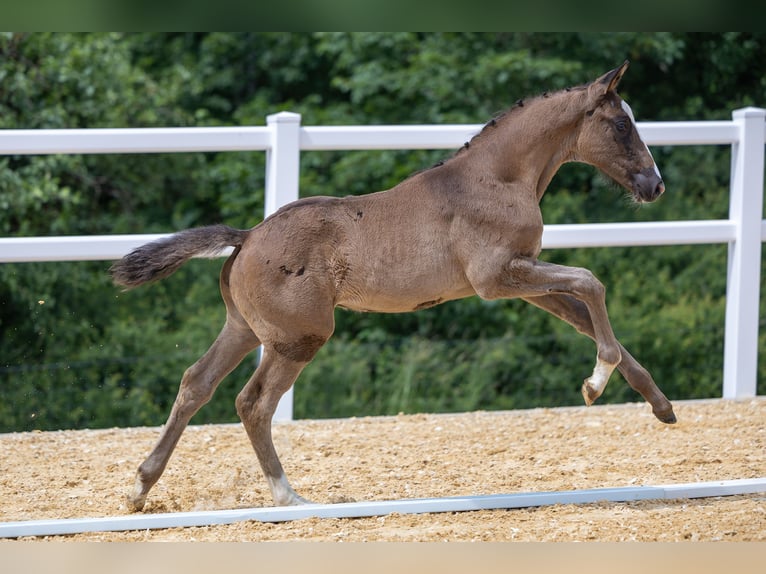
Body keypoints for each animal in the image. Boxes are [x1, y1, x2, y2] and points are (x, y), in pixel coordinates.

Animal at [112, 62, 680, 512]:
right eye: (622, 124)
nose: (654, 186)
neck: (498, 178)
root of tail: (247, 237)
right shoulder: (497, 278)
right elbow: (592, 283)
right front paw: (594, 384)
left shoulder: (522, 280)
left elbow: (587, 315)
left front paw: (660, 405)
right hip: (299, 337)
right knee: (253, 402)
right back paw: (287, 496)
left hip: (246, 329)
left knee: (195, 383)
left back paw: (140, 487)